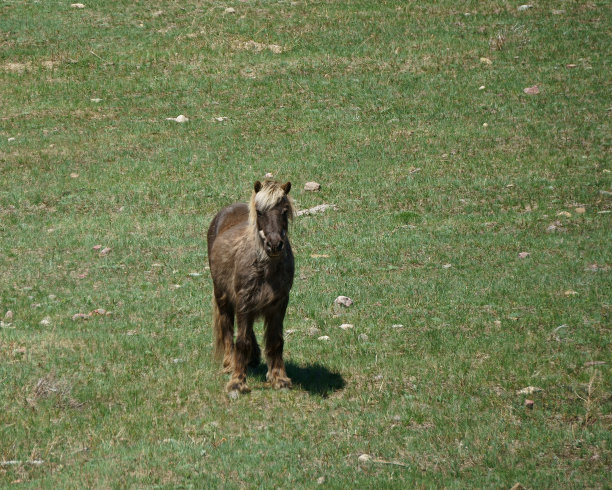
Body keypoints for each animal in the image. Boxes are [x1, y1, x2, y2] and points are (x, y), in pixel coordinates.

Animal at [207, 180, 296, 394]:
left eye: (284, 210)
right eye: (259, 211)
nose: (274, 245)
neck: (266, 269)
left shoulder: (279, 303)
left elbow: (276, 340)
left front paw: (279, 378)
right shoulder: (244, 301)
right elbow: (241, 340)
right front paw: (237, 382)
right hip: (223, 296)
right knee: (228, 328)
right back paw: (229, 363)